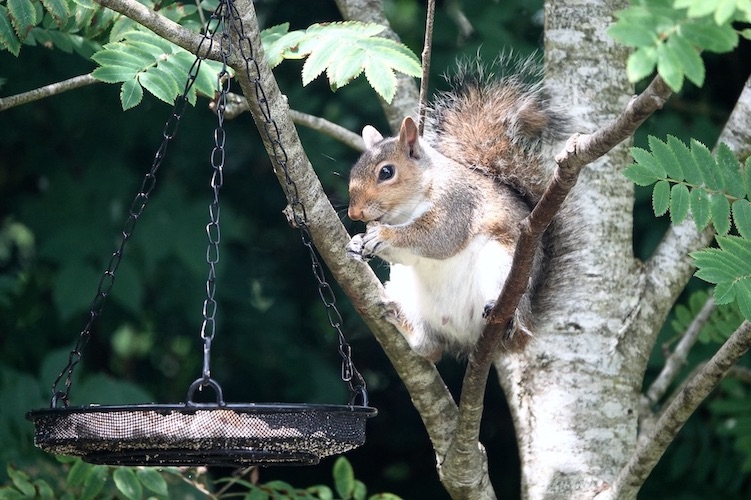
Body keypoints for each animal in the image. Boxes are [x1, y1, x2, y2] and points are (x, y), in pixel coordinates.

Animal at [345, 55, 569, 360]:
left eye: (386, 172)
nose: (353, 214)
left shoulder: (458, 203)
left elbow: (438, 237)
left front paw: (383, 235)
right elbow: (407, 254)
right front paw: (356, 242)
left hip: (502, 265)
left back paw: (509, 322)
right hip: (407, 289)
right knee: (430, 349)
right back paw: (402, 322)